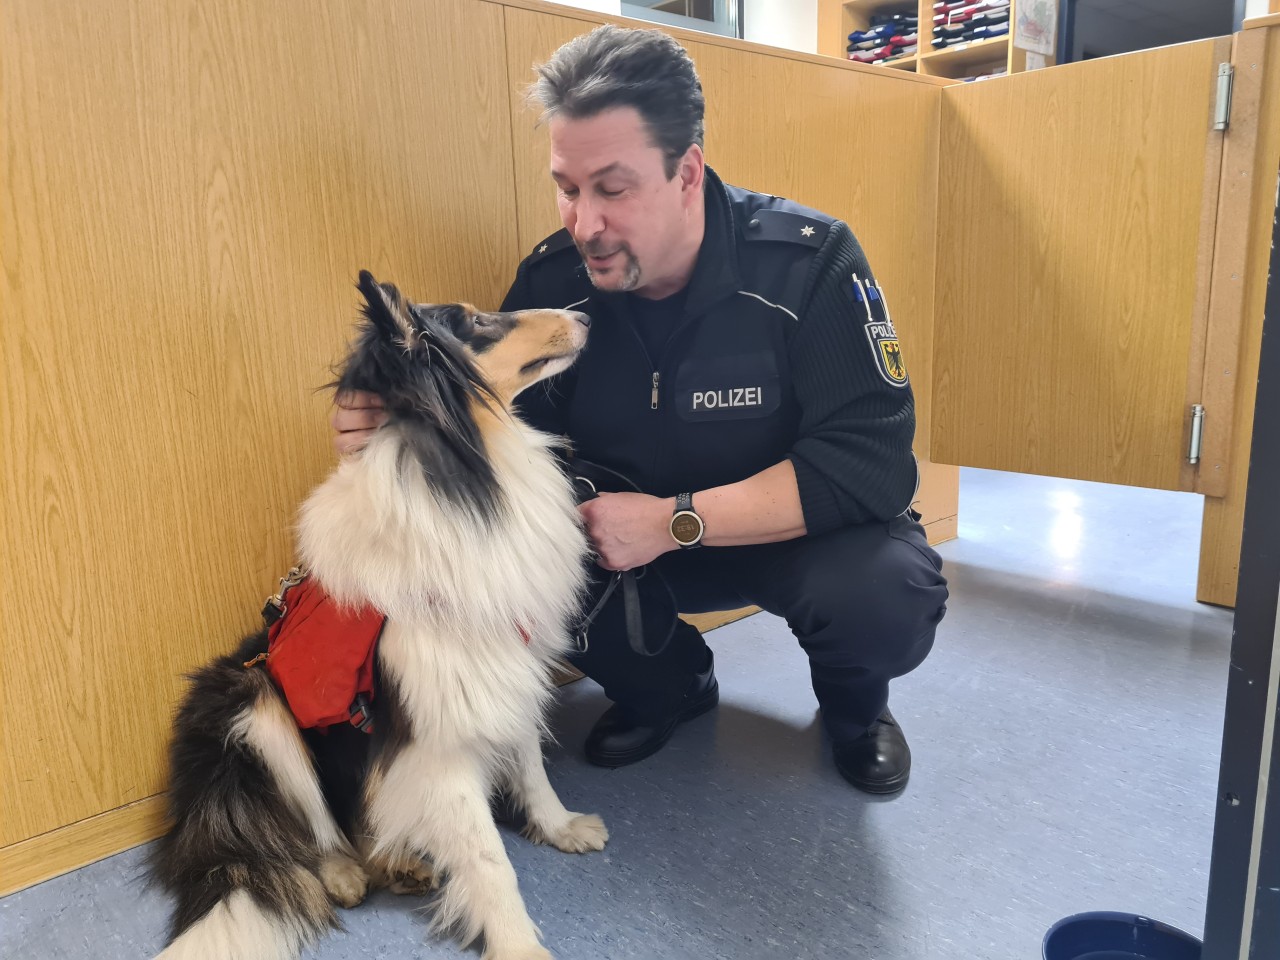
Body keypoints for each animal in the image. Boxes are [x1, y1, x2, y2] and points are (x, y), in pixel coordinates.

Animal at [151, 272, 604, 960]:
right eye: (475, 323)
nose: (586, 317)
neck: (470, 475)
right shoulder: (436, 731)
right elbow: (488, 859)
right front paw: (519, 947)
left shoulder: (503, 670)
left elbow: (530, 766)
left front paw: (561, 827)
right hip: (254, 703)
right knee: (317, 827)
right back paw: (346, 873)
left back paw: (399, 863)